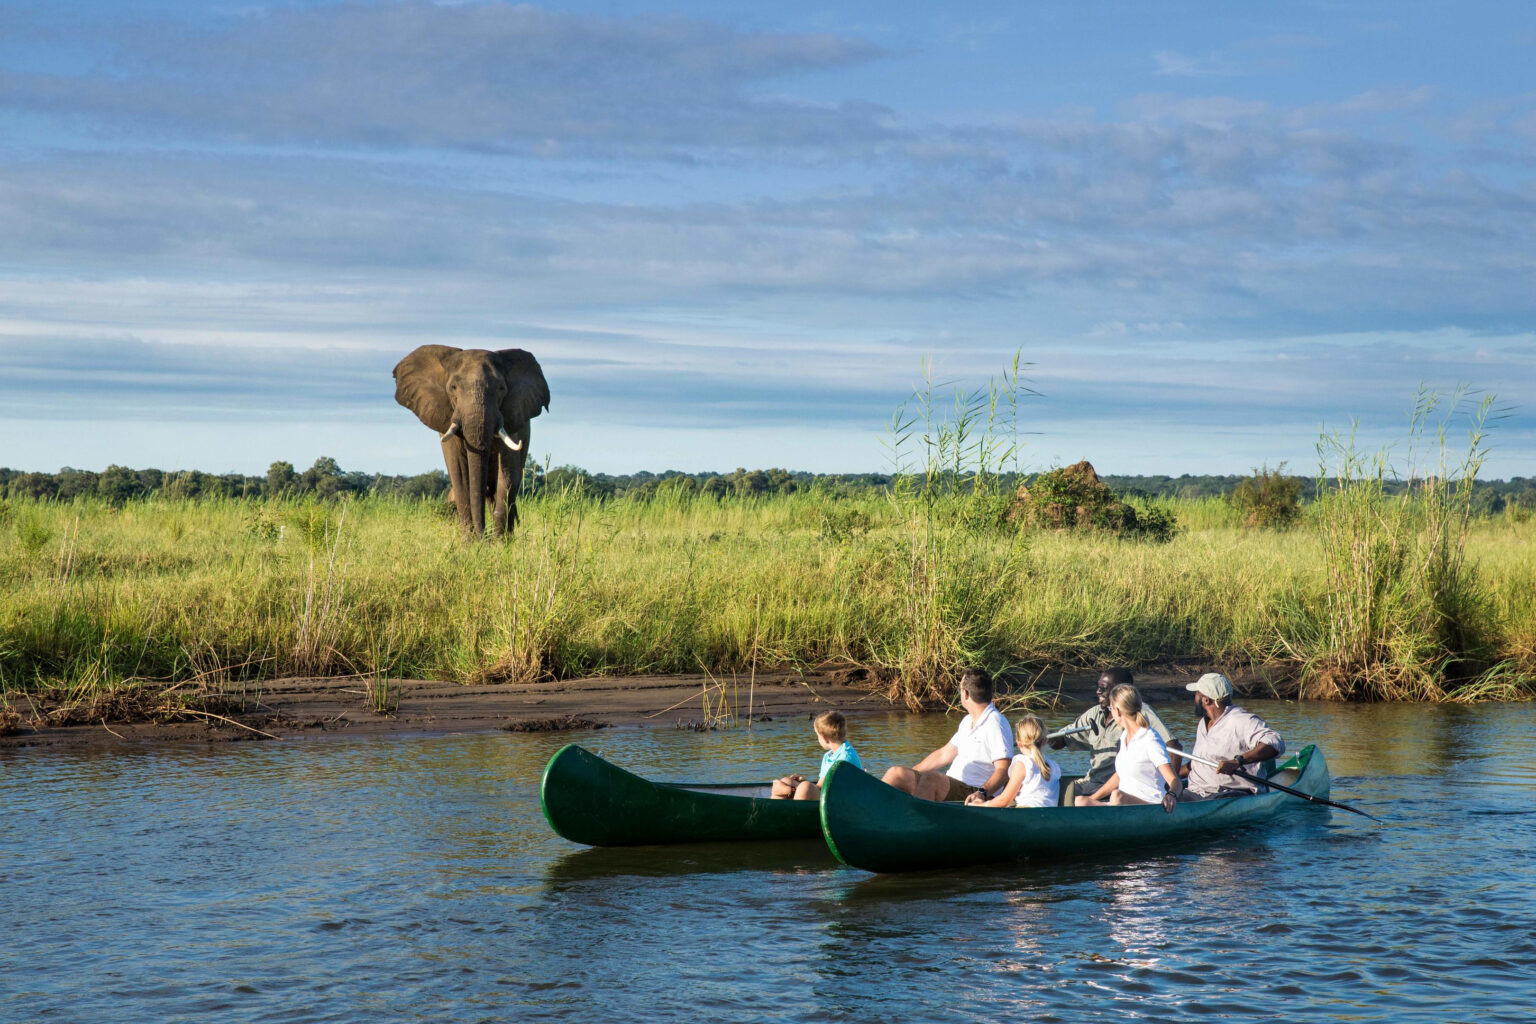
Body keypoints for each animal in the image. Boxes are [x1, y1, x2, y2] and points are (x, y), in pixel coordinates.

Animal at [393, 345, 550, 536]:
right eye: (453, 387)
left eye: (501, 388)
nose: (482, 535)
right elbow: (459, 472)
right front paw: (472, 540)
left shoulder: (512, 418)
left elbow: (508, 472)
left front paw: (499, 541)